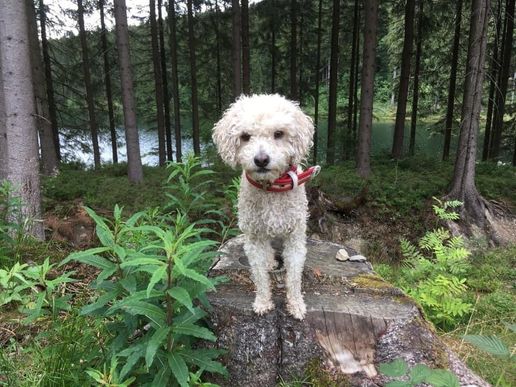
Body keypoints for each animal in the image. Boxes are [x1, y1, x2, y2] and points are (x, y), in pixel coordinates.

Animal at [213, 94, 316, 322]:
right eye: (245, 136)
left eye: (279, 134)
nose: (261, 159)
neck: (271, 189)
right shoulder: (253, 239)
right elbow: (259, 275)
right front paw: (262, 302)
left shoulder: (295, 237)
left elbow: (294, 276)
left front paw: (296, 305)